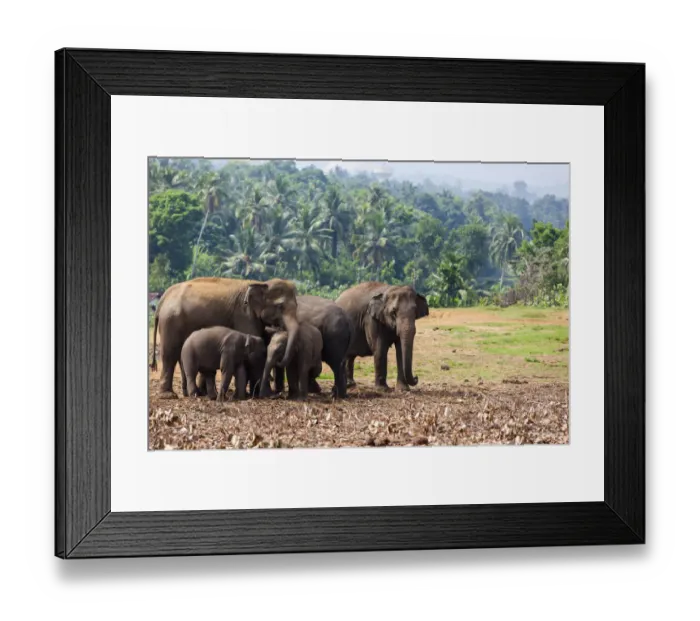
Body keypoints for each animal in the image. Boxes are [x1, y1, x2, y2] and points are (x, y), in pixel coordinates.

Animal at [151, 277, 299, 398]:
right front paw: (268, 395)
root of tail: (164, 297)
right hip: (171, 321)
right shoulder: (244, 315)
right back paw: (169, 395)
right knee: (170, 354)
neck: (261, 283)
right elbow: (255, 353)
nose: (278, 393)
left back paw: (192, 393)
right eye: (280, 306)